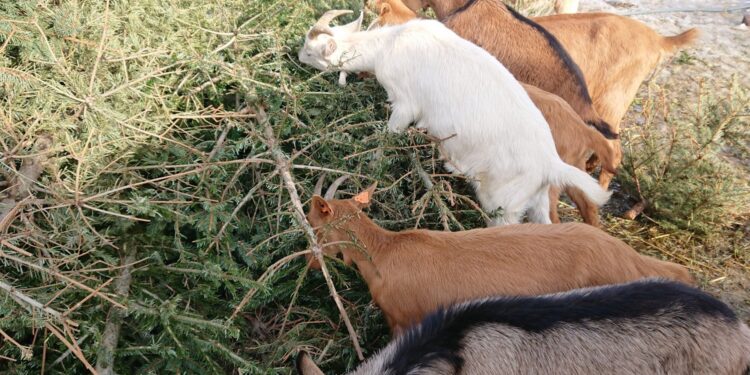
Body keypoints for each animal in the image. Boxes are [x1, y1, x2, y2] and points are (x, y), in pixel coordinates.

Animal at [300, 11, 612, 223]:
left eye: (311, 51)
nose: (298, 55)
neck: (388, 44)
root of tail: (550, 164)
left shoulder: (405, 104)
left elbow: (386, 139)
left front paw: (369, 169)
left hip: (504, 205)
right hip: (537, 201)